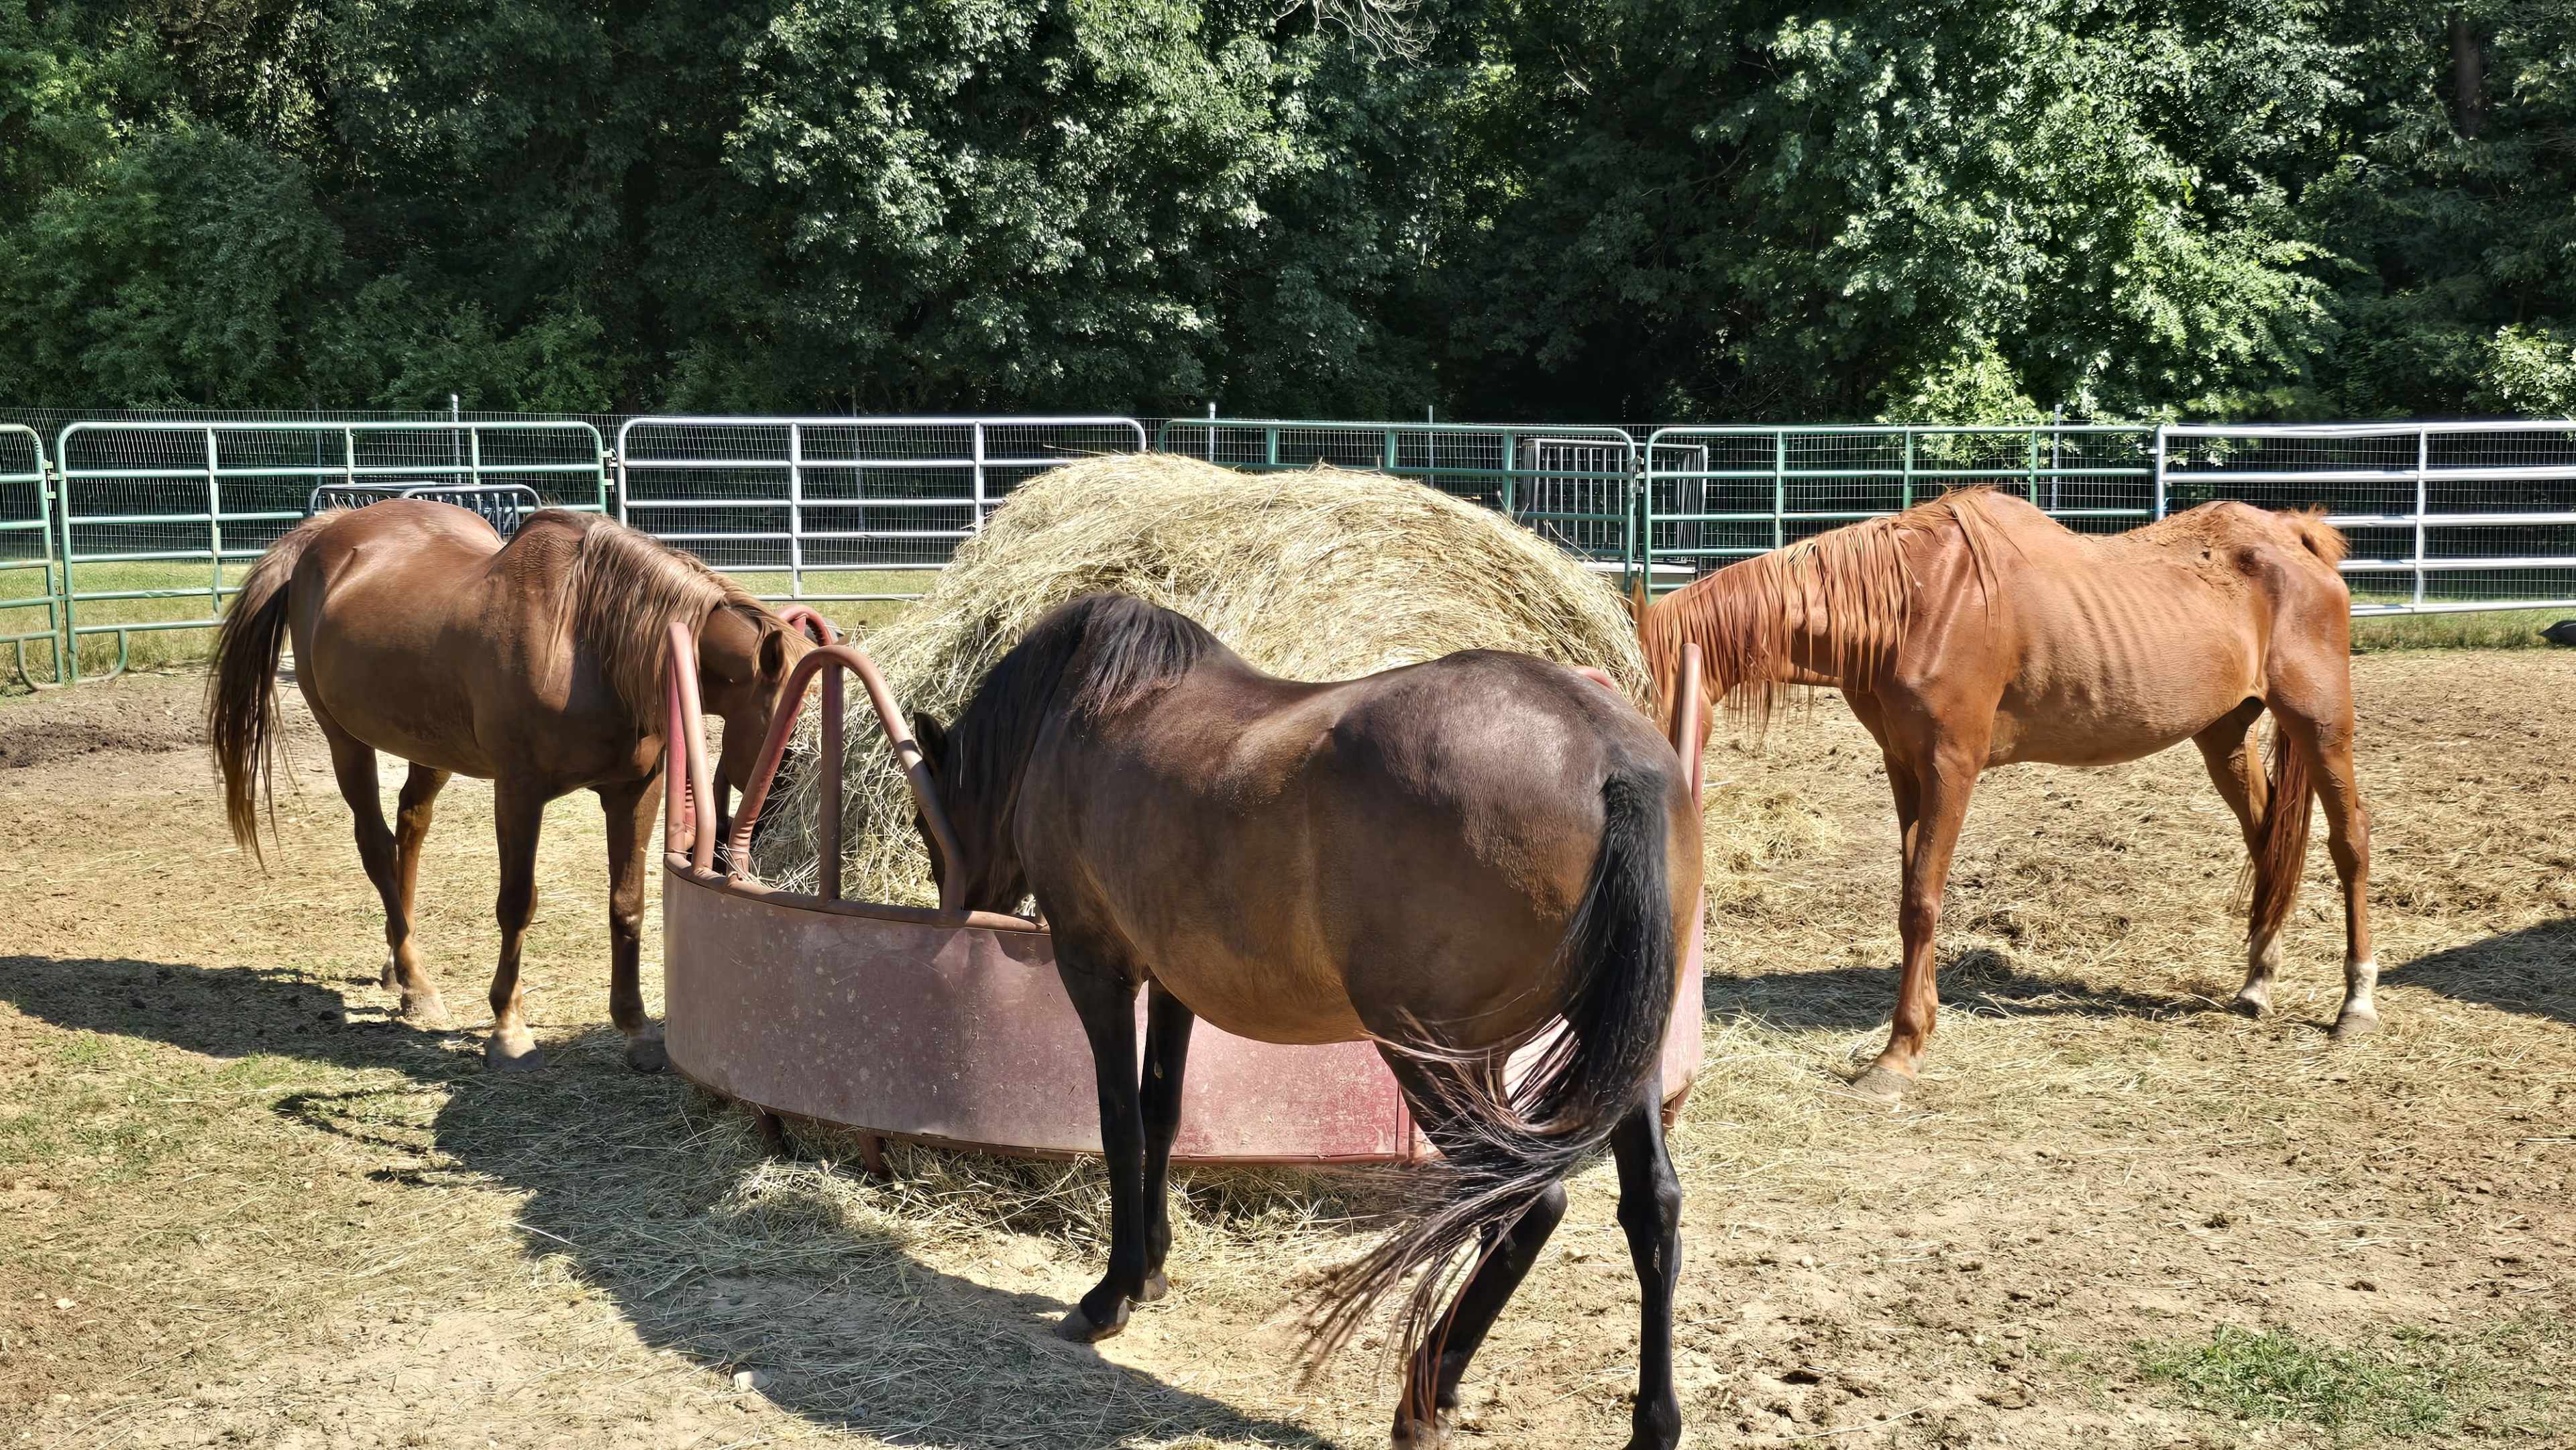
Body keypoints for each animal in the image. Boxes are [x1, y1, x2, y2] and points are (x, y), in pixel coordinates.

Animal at [206, 501, 814, 1072]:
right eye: (791, 744)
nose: (762, 853)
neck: (587, 645)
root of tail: (328, 531)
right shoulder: (519, 792)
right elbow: (517, 904)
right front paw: (509, 1031)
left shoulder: (636, 790)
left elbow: (627, 903)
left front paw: (638, 1029)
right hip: (345, 741)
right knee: (377, 846)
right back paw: (417, 984)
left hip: (431, 747)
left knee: (411, 828)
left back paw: (397, 966)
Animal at [902, 593, 1701, 1450]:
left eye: (926, 823)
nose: (954, 906)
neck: (1086, 705)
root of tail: (1609, 757)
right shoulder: (1177, 982)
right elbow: (1163, 1112)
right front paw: (1152, 1265)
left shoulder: (1096, 967)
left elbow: (1120, 1121)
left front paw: (1110, 1292)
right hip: (1617, 1047)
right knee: (1650, 1206)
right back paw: (1648, 1421)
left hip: (1434, 1055)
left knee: (1523, 1204)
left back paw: (1422, 1395)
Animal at [1637, 488, 2375, 1100]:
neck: (1915, 604)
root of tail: (2296, 536)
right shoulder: (1904, 766)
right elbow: (1911, 898)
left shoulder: (1952, 767)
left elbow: (1922, 902)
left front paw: (1897, 1055)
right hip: (2224, 735)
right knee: (2268, 840)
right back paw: (2257, 982)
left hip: (2322, 726)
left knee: (2350, 843)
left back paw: (2355, 1005)